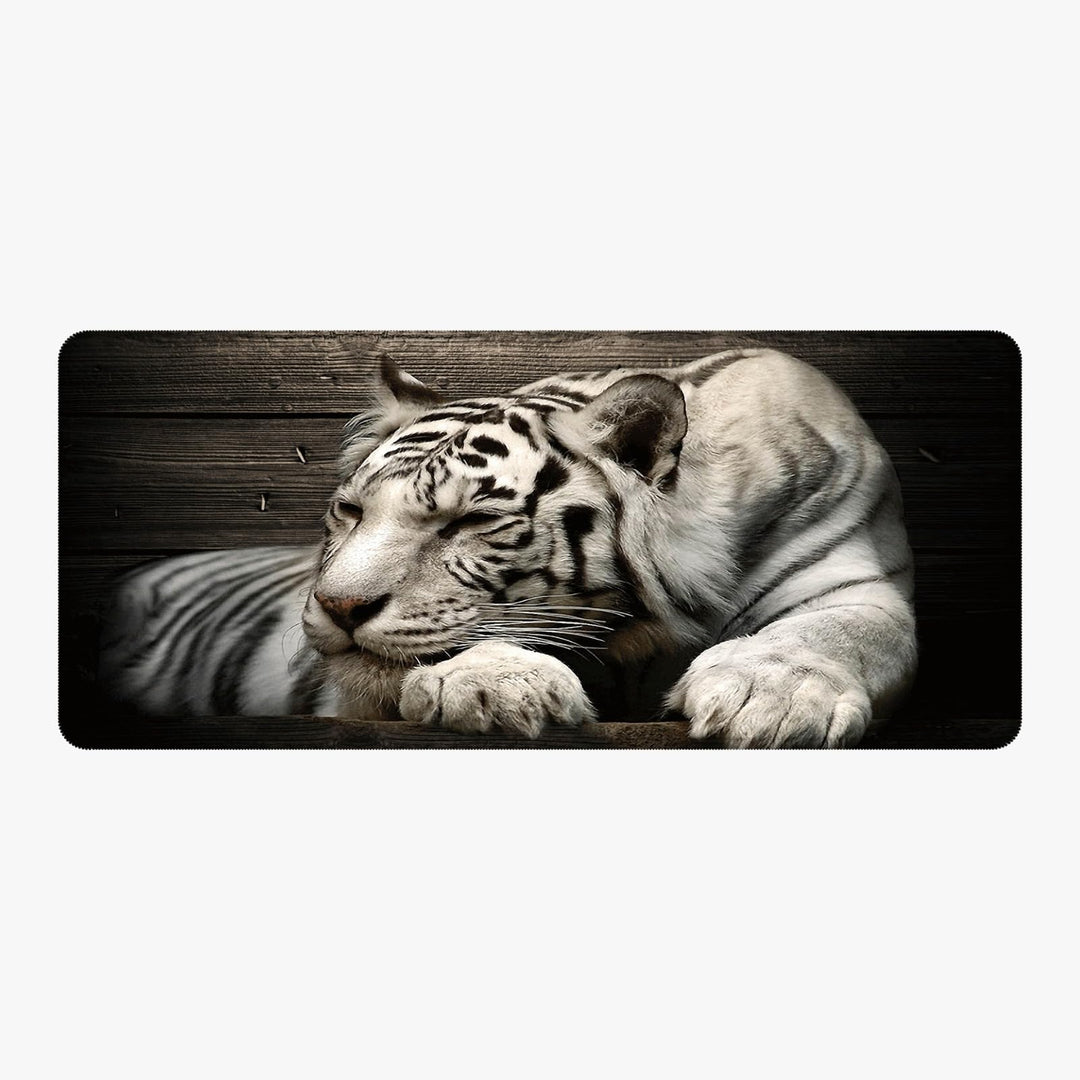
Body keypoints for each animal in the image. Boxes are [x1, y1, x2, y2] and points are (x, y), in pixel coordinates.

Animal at [99, 347, 917, 747]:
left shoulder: (854, 579)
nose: (336, 606)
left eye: (467, 522)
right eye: (351, 511)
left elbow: (840, 630)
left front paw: (771, 698)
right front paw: (495, 686)